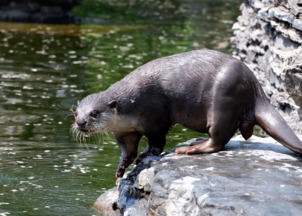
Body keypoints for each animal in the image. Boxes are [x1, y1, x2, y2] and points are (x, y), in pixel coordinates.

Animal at [71, 50, 302, 177]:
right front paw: (121, 168)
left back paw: (190, 149)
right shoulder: (125, 131)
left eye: (94, 113)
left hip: (223, 100)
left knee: (219, 139)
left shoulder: (154, 117)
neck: (130, 105)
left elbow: (157, 142)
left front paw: (146, 155)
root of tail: (254, 85)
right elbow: (127, 150)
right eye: (75, 113)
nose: (81, 122)